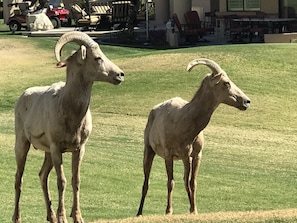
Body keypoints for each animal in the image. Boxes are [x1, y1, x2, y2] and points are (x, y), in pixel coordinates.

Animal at [12, 31, 123, 223]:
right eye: (97, 58)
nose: (120, 75)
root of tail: (22, 97)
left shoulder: (78, 149)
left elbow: (75, 180)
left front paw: (77, 217)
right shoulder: (57, 149)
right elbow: (61, 181)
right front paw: (63, 217)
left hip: (47, 153)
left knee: (42, 176)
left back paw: (51, 216)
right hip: (22, 144)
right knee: (19, 178)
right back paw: (17, 217)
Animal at [136, 57, 250, 216]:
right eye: (226, 83)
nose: (247, 101)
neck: (185, 123)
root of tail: (153, 110)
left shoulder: (194, 155)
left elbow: (192, 182)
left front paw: (194, 211)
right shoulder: (169, 155)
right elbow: (171, 182)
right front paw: (169, 211)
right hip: (148, 150)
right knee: (146, 182)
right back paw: (139, 213)